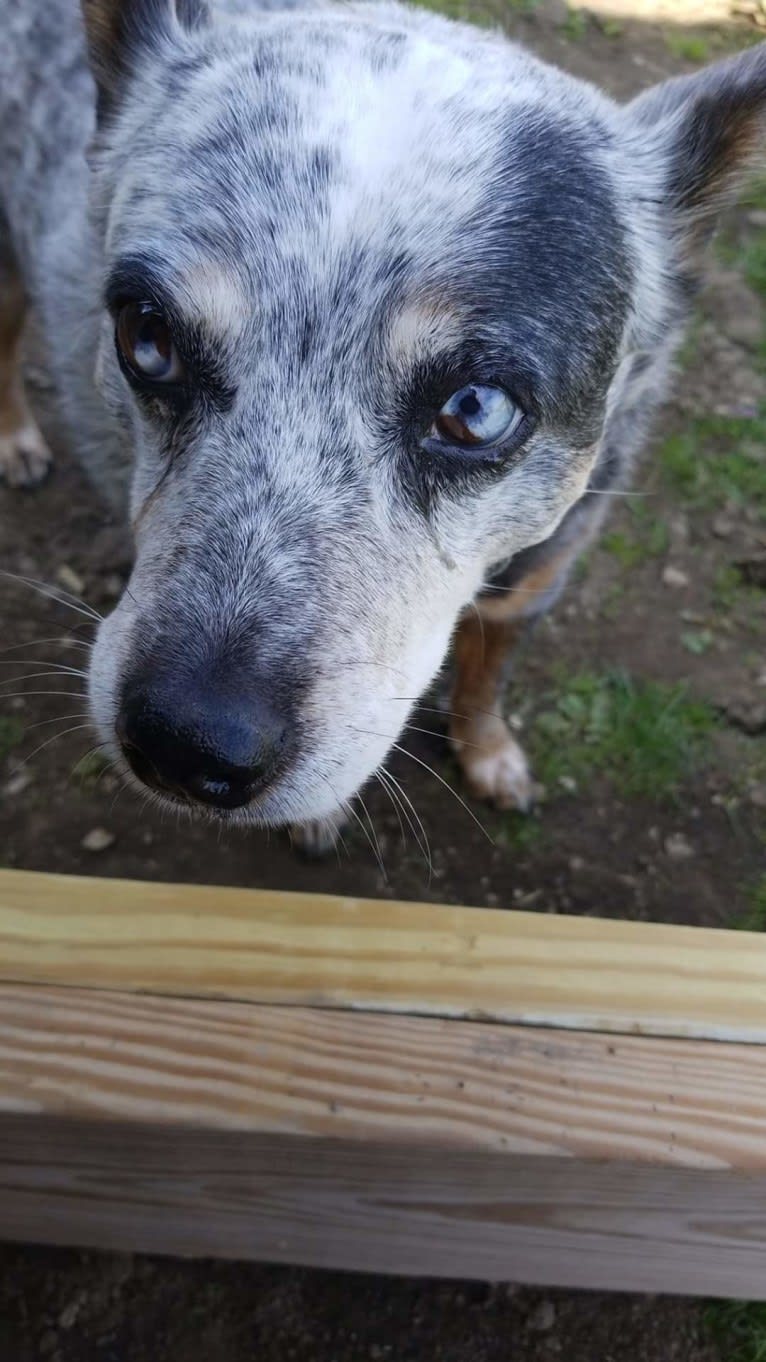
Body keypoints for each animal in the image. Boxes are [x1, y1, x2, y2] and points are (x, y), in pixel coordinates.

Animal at [1, 0, 763, 844]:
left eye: (476, 409)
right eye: (147, 336)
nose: (184, 743)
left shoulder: (537, 584)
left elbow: (487, 679)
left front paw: (489, 754)